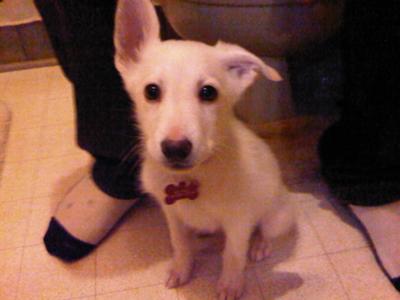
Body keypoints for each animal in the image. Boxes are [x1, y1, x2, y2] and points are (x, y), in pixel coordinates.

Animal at [114, 1, 296, 298]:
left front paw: (230, 284)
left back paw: (259, 244)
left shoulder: (238, 221)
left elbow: (233, 255)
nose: (176, 148)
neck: (190, 180)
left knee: (265, 230)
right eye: (151, 91)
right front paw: (181, 269)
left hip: (277, 216)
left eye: (208, 92)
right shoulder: (172, 215)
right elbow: (180, 244)